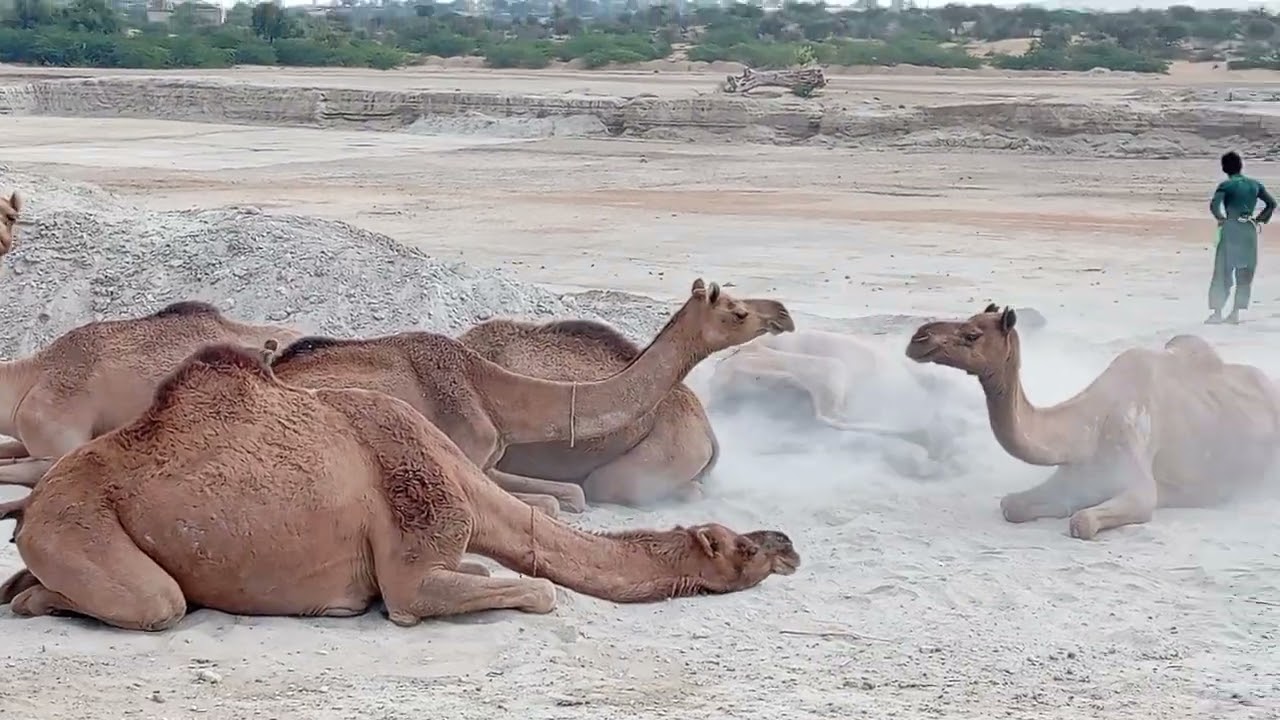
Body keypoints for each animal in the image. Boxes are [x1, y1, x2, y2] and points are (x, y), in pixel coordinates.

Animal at [0, 343, 800, 631]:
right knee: (155, 603)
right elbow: (537, 591)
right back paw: (38, 600)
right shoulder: (415, 564)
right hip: (77, 524)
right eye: (736, 546)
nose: (785, 543)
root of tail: (35, 507)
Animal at [905, 303, 1280, 539]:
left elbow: (1082, 522)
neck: (1088, 432)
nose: (917, 338)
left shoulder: (1137, 482)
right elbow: (1011, 505)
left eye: (972, 334)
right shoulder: (1073, 479)